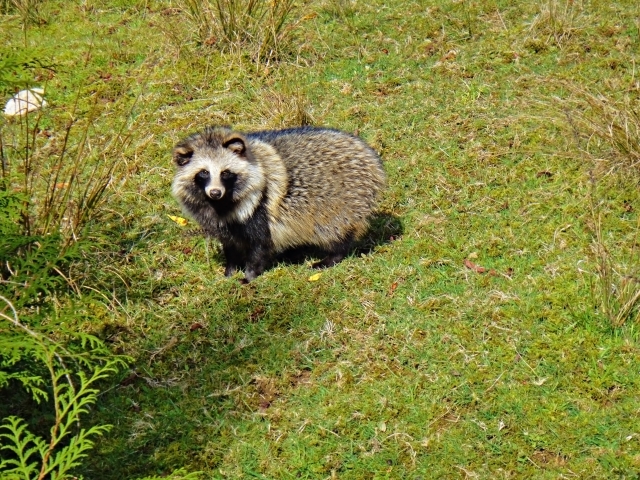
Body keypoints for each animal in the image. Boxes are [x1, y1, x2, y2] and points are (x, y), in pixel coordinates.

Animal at [171, 125, 384, 284]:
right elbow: (230, 245)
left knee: (334, 231)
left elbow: (261, 244)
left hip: (341, 203)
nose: (215, 192)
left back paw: (333, 255)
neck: (222, 204)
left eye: (226, 173)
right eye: (204, 173)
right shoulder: (223, 223)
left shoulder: (260, 207)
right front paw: (229, 271)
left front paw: (249, 275)